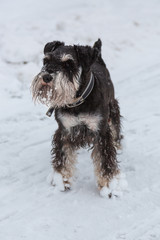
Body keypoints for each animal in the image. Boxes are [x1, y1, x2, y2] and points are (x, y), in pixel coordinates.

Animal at [31, 39, 124, 197]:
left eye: (68, 64)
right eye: (46, 60)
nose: (46, 77)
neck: (77, 101)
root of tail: (97, 57)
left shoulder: (101, 132)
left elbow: (105, 160)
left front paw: (109, 186)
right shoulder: (64, 131)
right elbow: (63, 158)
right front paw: (62, 180)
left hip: (113, 110)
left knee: (115, 130)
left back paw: (117, 145)